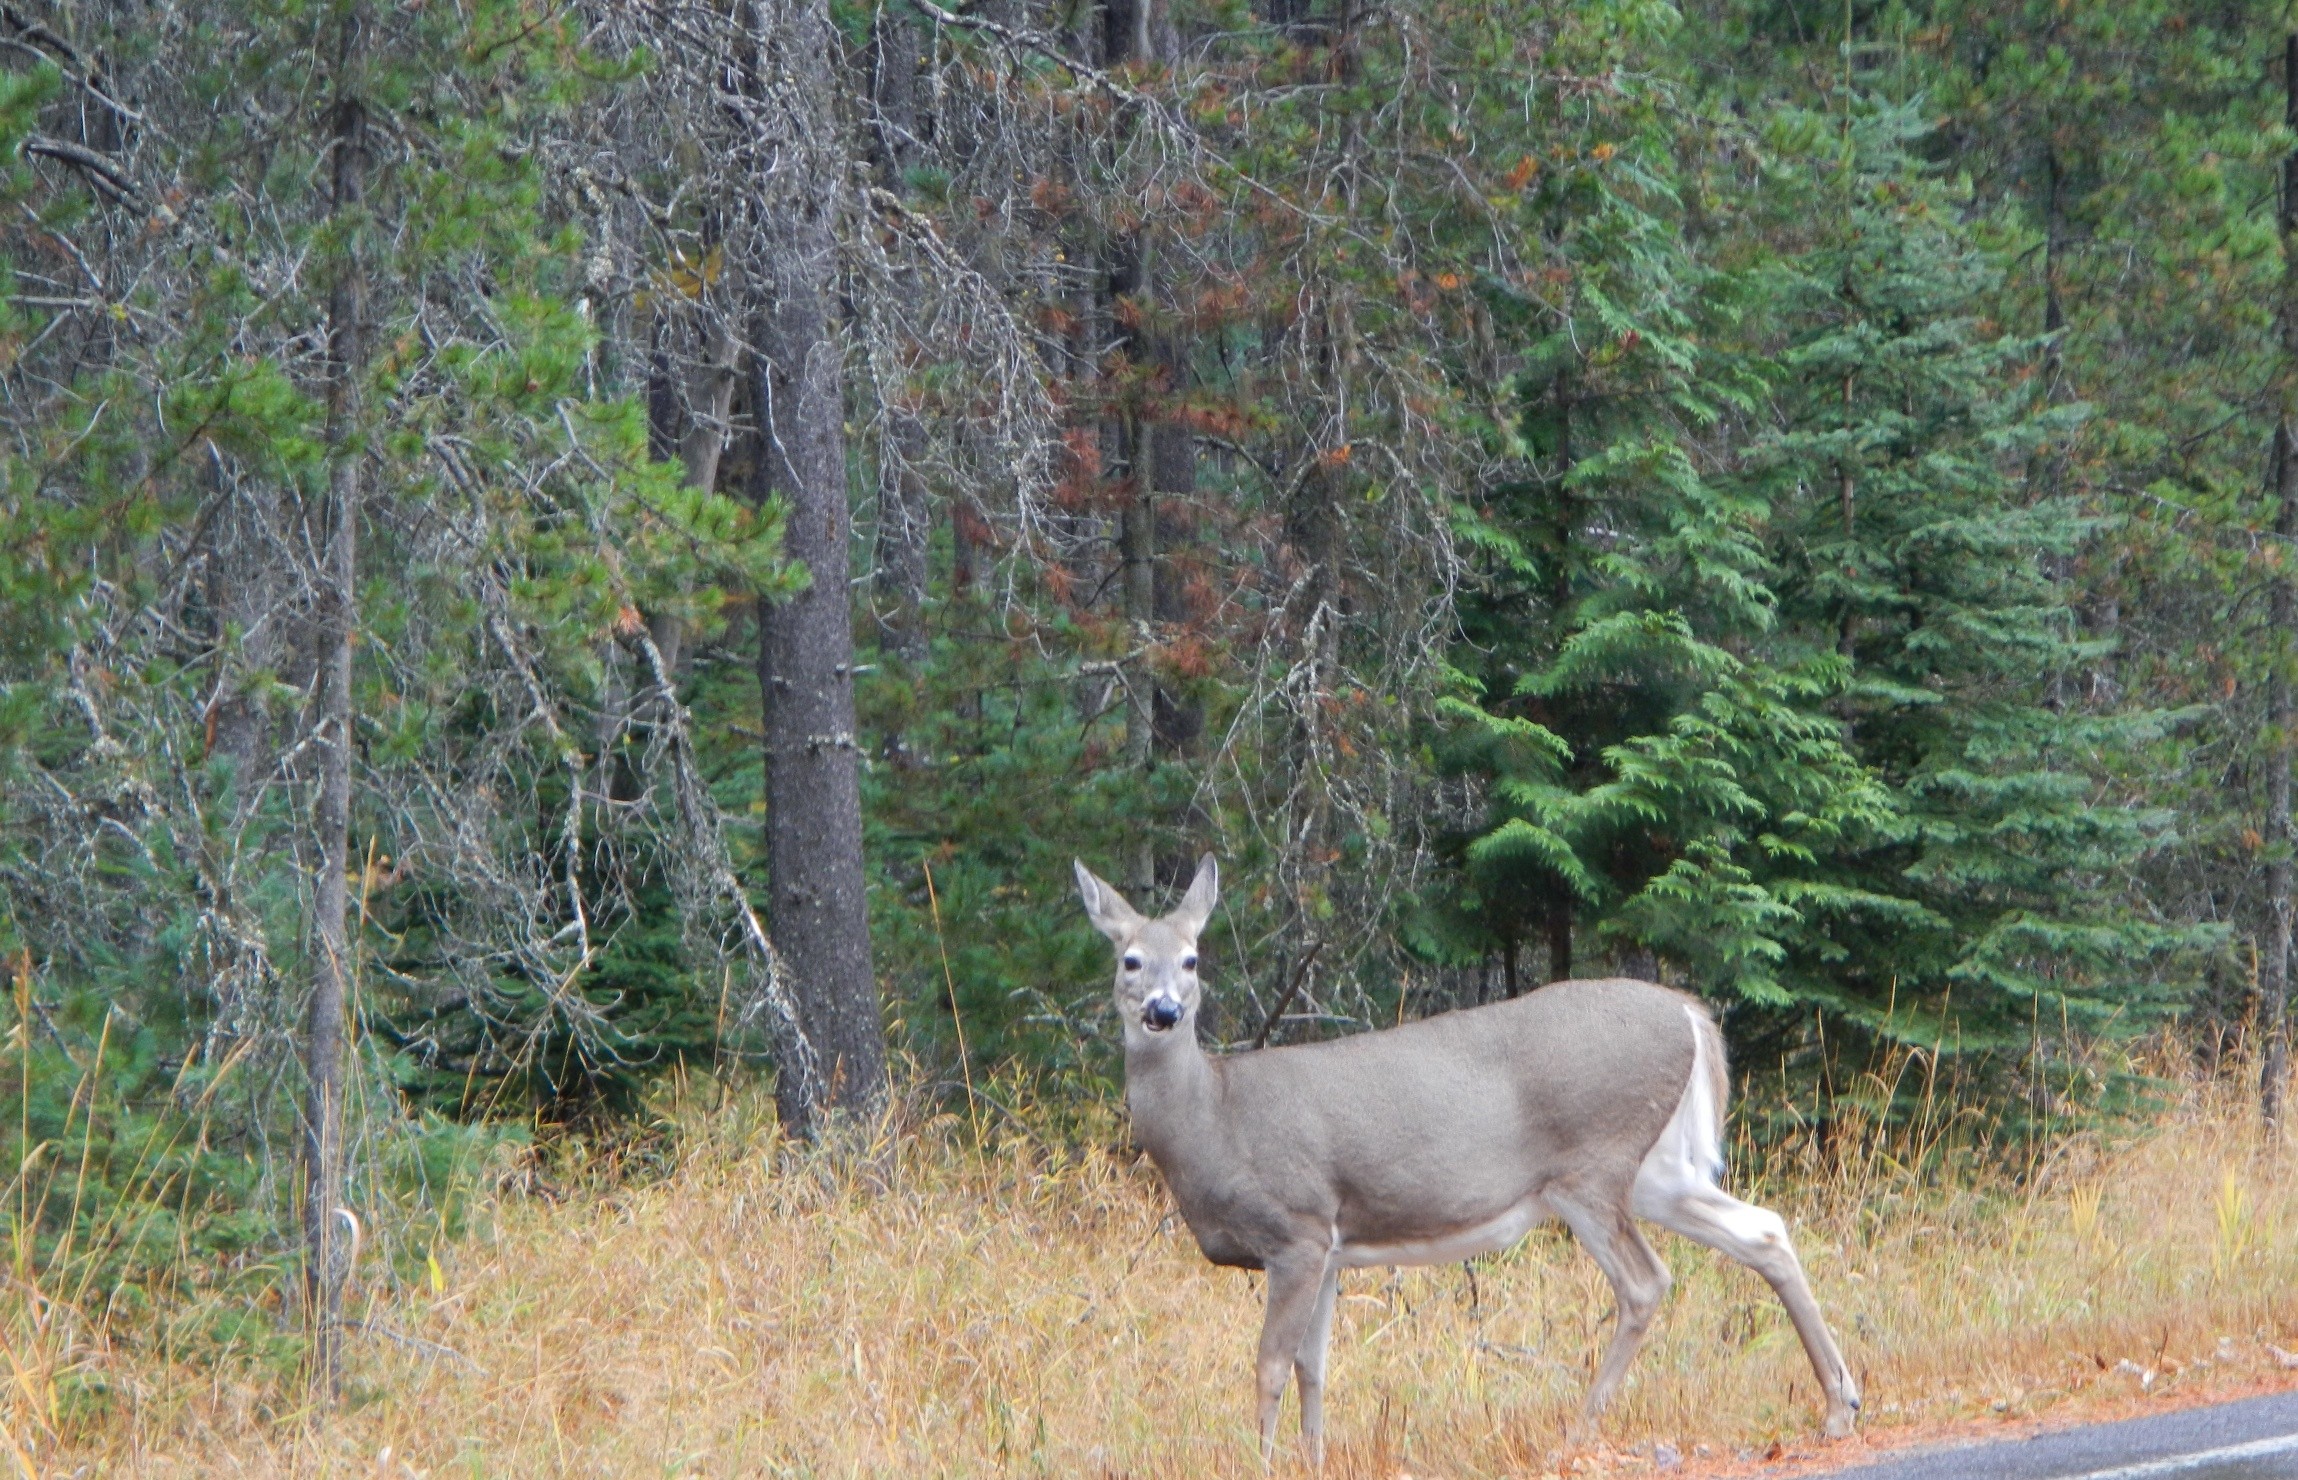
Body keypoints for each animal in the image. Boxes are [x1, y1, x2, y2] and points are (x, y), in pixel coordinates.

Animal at [1080, 854, 1865, 1470]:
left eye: (1191, 959)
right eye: (1129, 959)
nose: (1162, 1010)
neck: (1214, 1119)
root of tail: (1688, 1013)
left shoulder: (1294, 1226)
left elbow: (1272, 1365)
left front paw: (1267, 1462)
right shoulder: (1330, 1244)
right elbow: (1314, 1367)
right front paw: (1313, 1458)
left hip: (1592, 1162)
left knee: (1646, 1282)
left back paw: (1577, 1431)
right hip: (1656, 1170)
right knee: (1763, 1229)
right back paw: (1840, 1404)